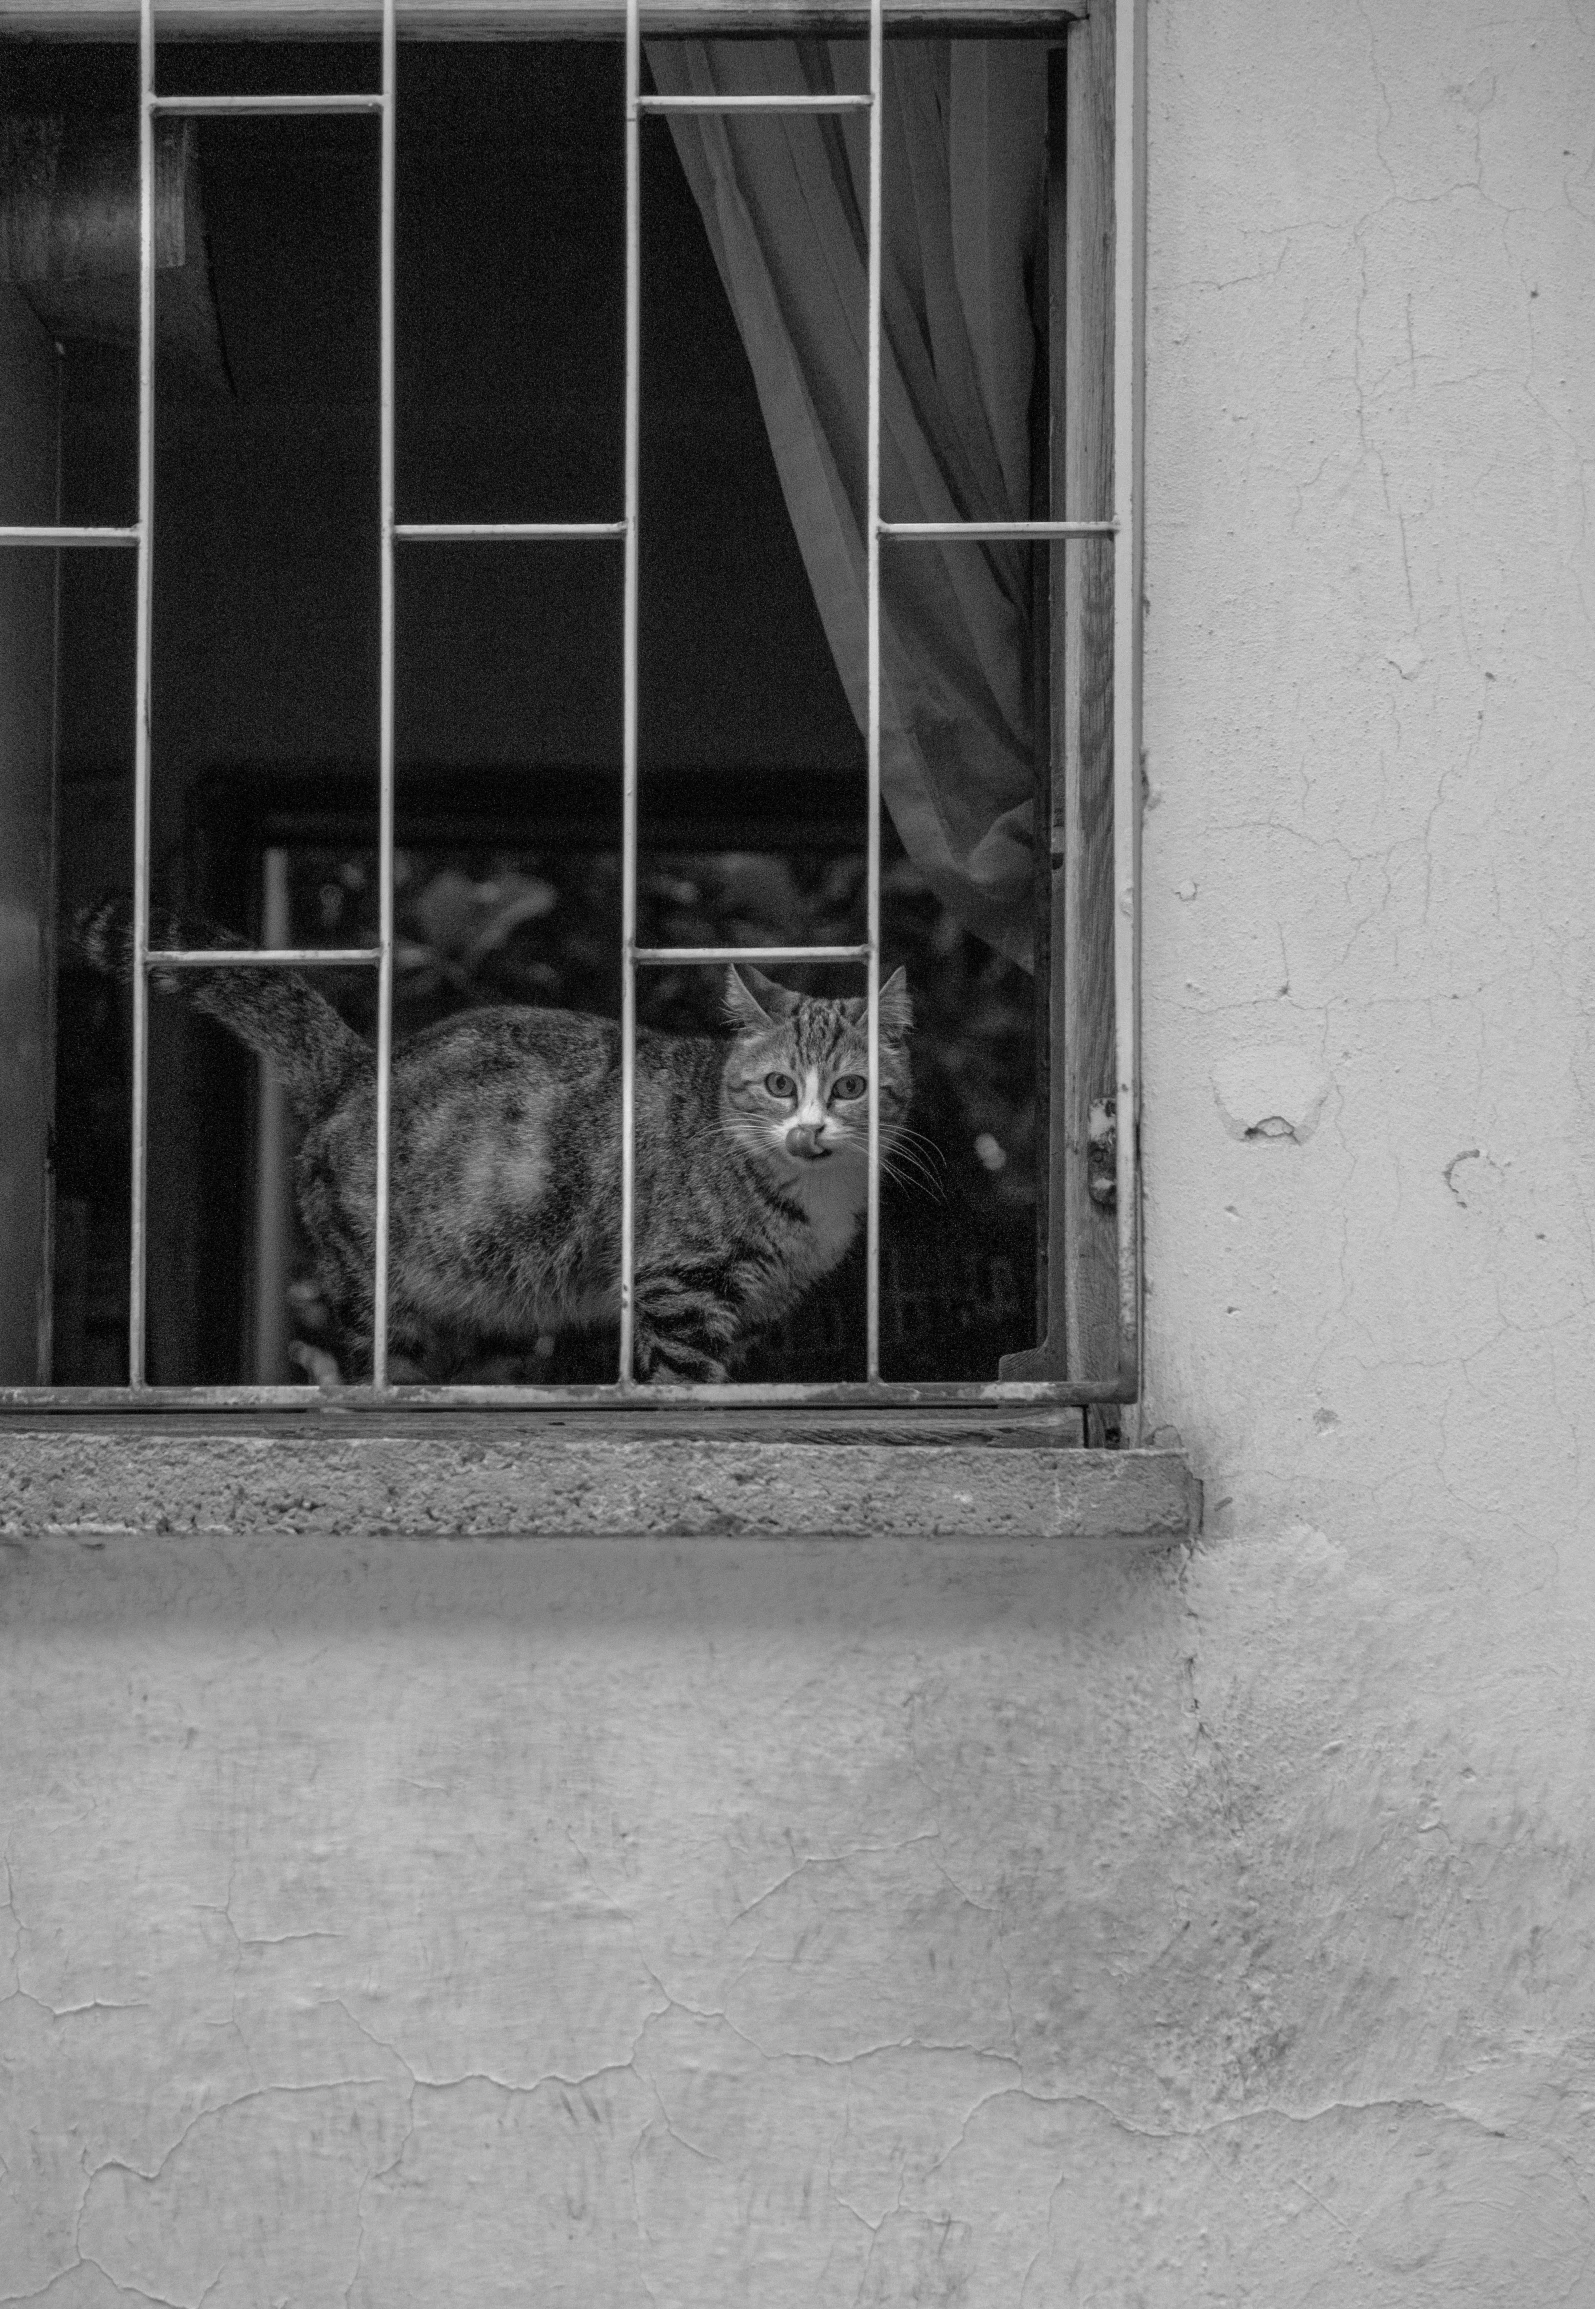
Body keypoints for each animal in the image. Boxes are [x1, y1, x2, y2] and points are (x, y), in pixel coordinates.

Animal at [75, 891, 918, 1376]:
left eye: (850, 1087)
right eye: (779, 1085)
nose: (809, 1128)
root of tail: (359, 1069)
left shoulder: (745, 1309)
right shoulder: (678, 1287)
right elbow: (681, 1383)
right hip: (378, 1283)